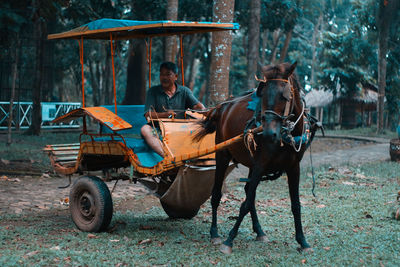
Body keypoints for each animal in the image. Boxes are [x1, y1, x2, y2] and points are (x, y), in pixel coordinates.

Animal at [192, 61, 320, 254]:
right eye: (263, 95)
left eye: (284, 97)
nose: (268, 133)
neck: (286, 135)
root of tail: (222, 107)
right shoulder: (261, 164)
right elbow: (245, 203)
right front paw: (229, 240)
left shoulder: (293, 167)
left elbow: (295, 204)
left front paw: (303, 241)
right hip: (222, 155)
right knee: (217, 194)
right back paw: (214, 233)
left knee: (248, 193)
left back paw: (259, 231)